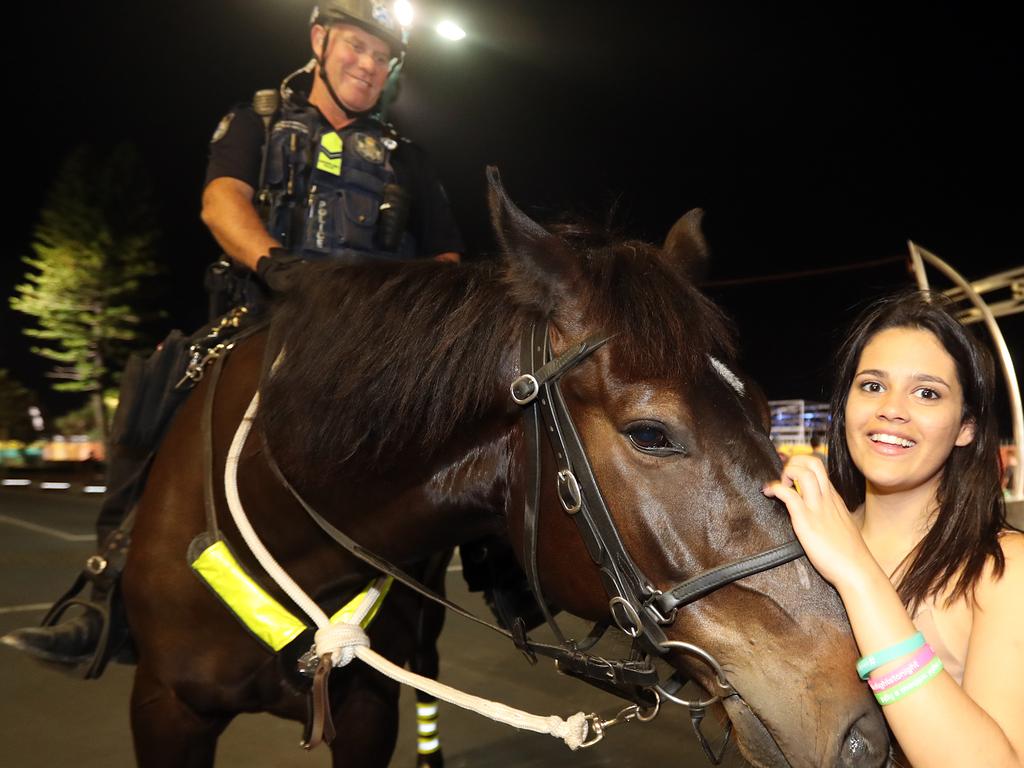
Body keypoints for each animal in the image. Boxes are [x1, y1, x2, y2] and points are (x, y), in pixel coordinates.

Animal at [119, 174, 892, 768]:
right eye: (650, 433)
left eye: (763, 408)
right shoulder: (164, 711)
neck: (282, 520)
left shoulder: (368, 713)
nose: (864, 726)